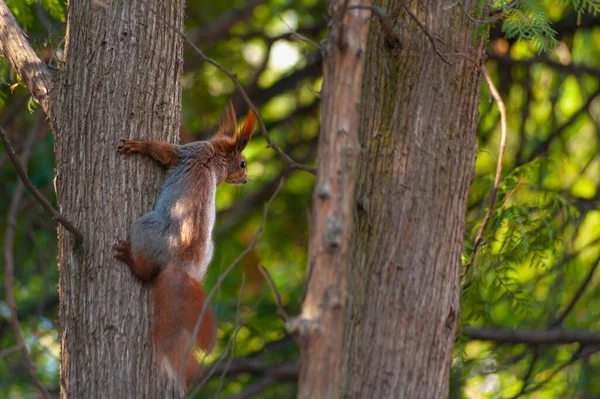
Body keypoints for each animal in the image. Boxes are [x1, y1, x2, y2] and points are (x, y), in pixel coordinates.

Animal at [113, 102, 255, 388]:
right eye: (243, 163)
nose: (246, 180)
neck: (217, 157)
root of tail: (181, 263)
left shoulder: (187, 152)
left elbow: (162, 151)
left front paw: (136, 145)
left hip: (146, 226)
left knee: (145, 271)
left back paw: (130, 258)